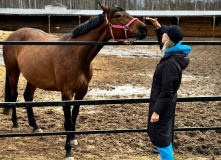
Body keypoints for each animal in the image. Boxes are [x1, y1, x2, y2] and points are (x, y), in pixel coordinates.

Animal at [2, 3, 148, 159]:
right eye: (118, 15)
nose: (143, 28)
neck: (75, 54)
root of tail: (13, 35)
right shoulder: (66, 93)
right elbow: (67, 121)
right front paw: (68, 151)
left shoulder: (81, 91)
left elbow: (75, 115)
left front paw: (73, 139)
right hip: (13, 73)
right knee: (14, 96)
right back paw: (15, 125)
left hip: (34, 77)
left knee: (27, 96)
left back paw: (35, 126)